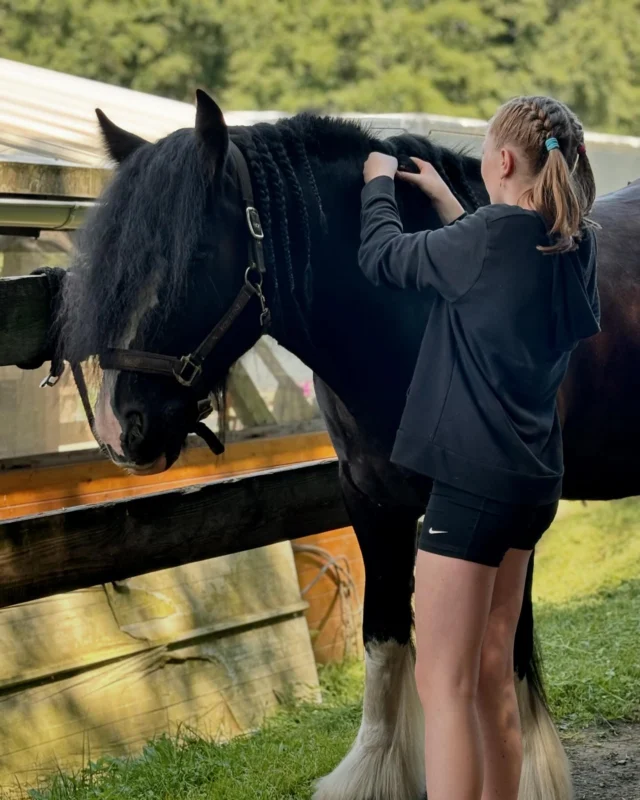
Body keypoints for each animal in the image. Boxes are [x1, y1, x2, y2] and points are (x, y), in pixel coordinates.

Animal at [60, 90, 640, 796]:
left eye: (193, 257)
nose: (122, 429)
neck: (404, 315)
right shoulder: (371, 499)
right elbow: (384, 635)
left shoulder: (502, 505)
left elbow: (508, 652)